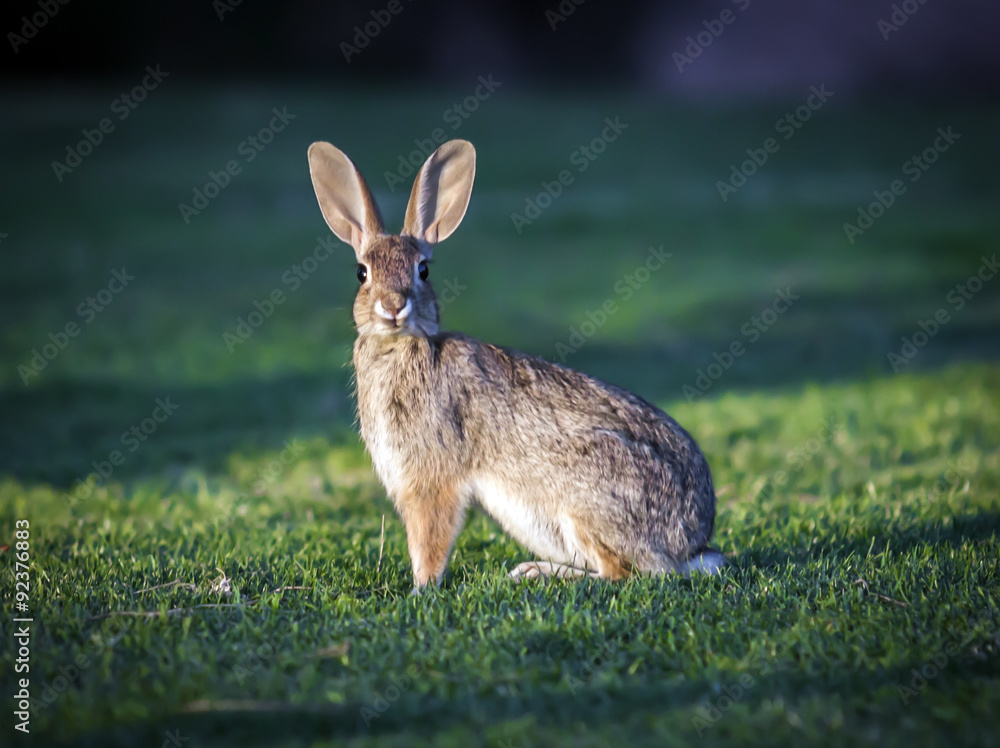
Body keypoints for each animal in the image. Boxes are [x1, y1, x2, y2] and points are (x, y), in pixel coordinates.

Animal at [307, 138, 726, 590]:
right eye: (362, 272)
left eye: (423, 270)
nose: (393, 306)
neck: (399, 347)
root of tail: (691, 542)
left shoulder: (432, 482)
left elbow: (430, 541)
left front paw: (421, 588)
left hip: (587, 503)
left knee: (624, 573)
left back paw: (537, 573)